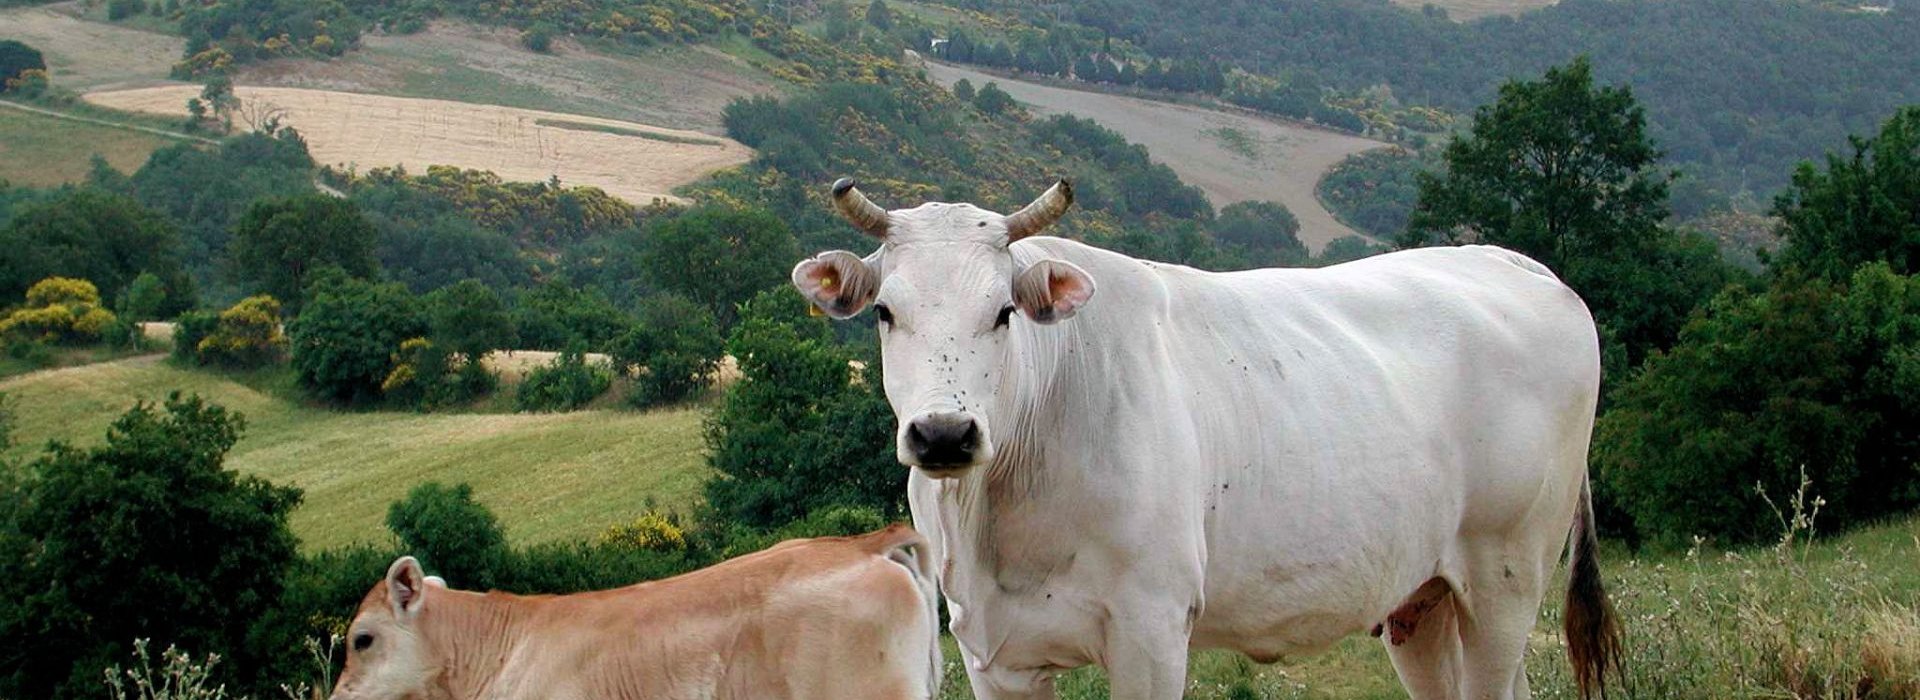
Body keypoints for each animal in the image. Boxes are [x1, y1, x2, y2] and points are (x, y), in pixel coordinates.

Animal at [791, 181, 1620, 698]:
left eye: (1004, 312)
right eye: (885, 312)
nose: (944, 434)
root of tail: (1513, 261)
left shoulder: (1153, 629)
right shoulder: (991, 647)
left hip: (1506, 576)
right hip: (1425, 598)